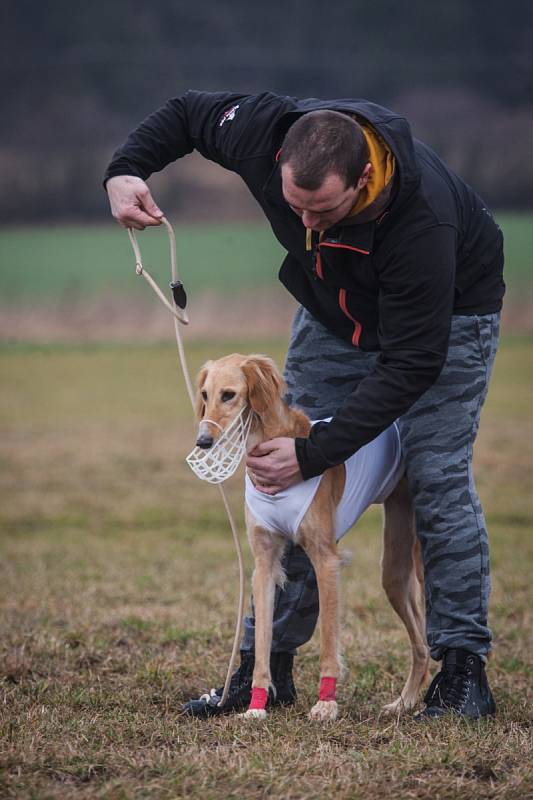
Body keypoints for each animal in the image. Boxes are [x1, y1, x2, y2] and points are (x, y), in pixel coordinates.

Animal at [193, 354, 430, 720]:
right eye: (205, 394)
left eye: (229, 395)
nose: (203, 442)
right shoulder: (264, 565)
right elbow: (262, 641)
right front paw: (256, 705)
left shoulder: (325, 559)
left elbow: (329, 642)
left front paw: (326, 703)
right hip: (393, 569)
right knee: (421, 644)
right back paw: (404, 702)